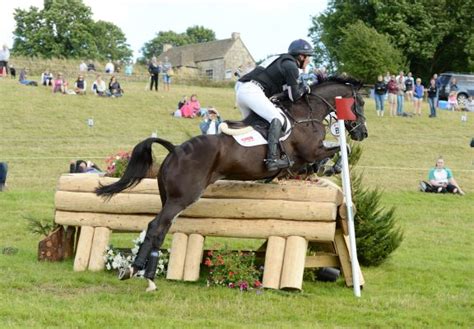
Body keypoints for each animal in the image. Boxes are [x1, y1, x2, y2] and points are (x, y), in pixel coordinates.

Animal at [96, 76, 368, 290]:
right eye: (361, 103)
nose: (362, 133)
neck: (306, 116)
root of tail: (176, 150)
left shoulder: (301, 161)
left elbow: (326, 156)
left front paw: (328, 167)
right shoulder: (309, 152)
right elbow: (335, 151)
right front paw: (334, 165)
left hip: (170, 198)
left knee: (160, 229)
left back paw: (144, 275)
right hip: (182, 198)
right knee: (155, 226)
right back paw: (137, 271)